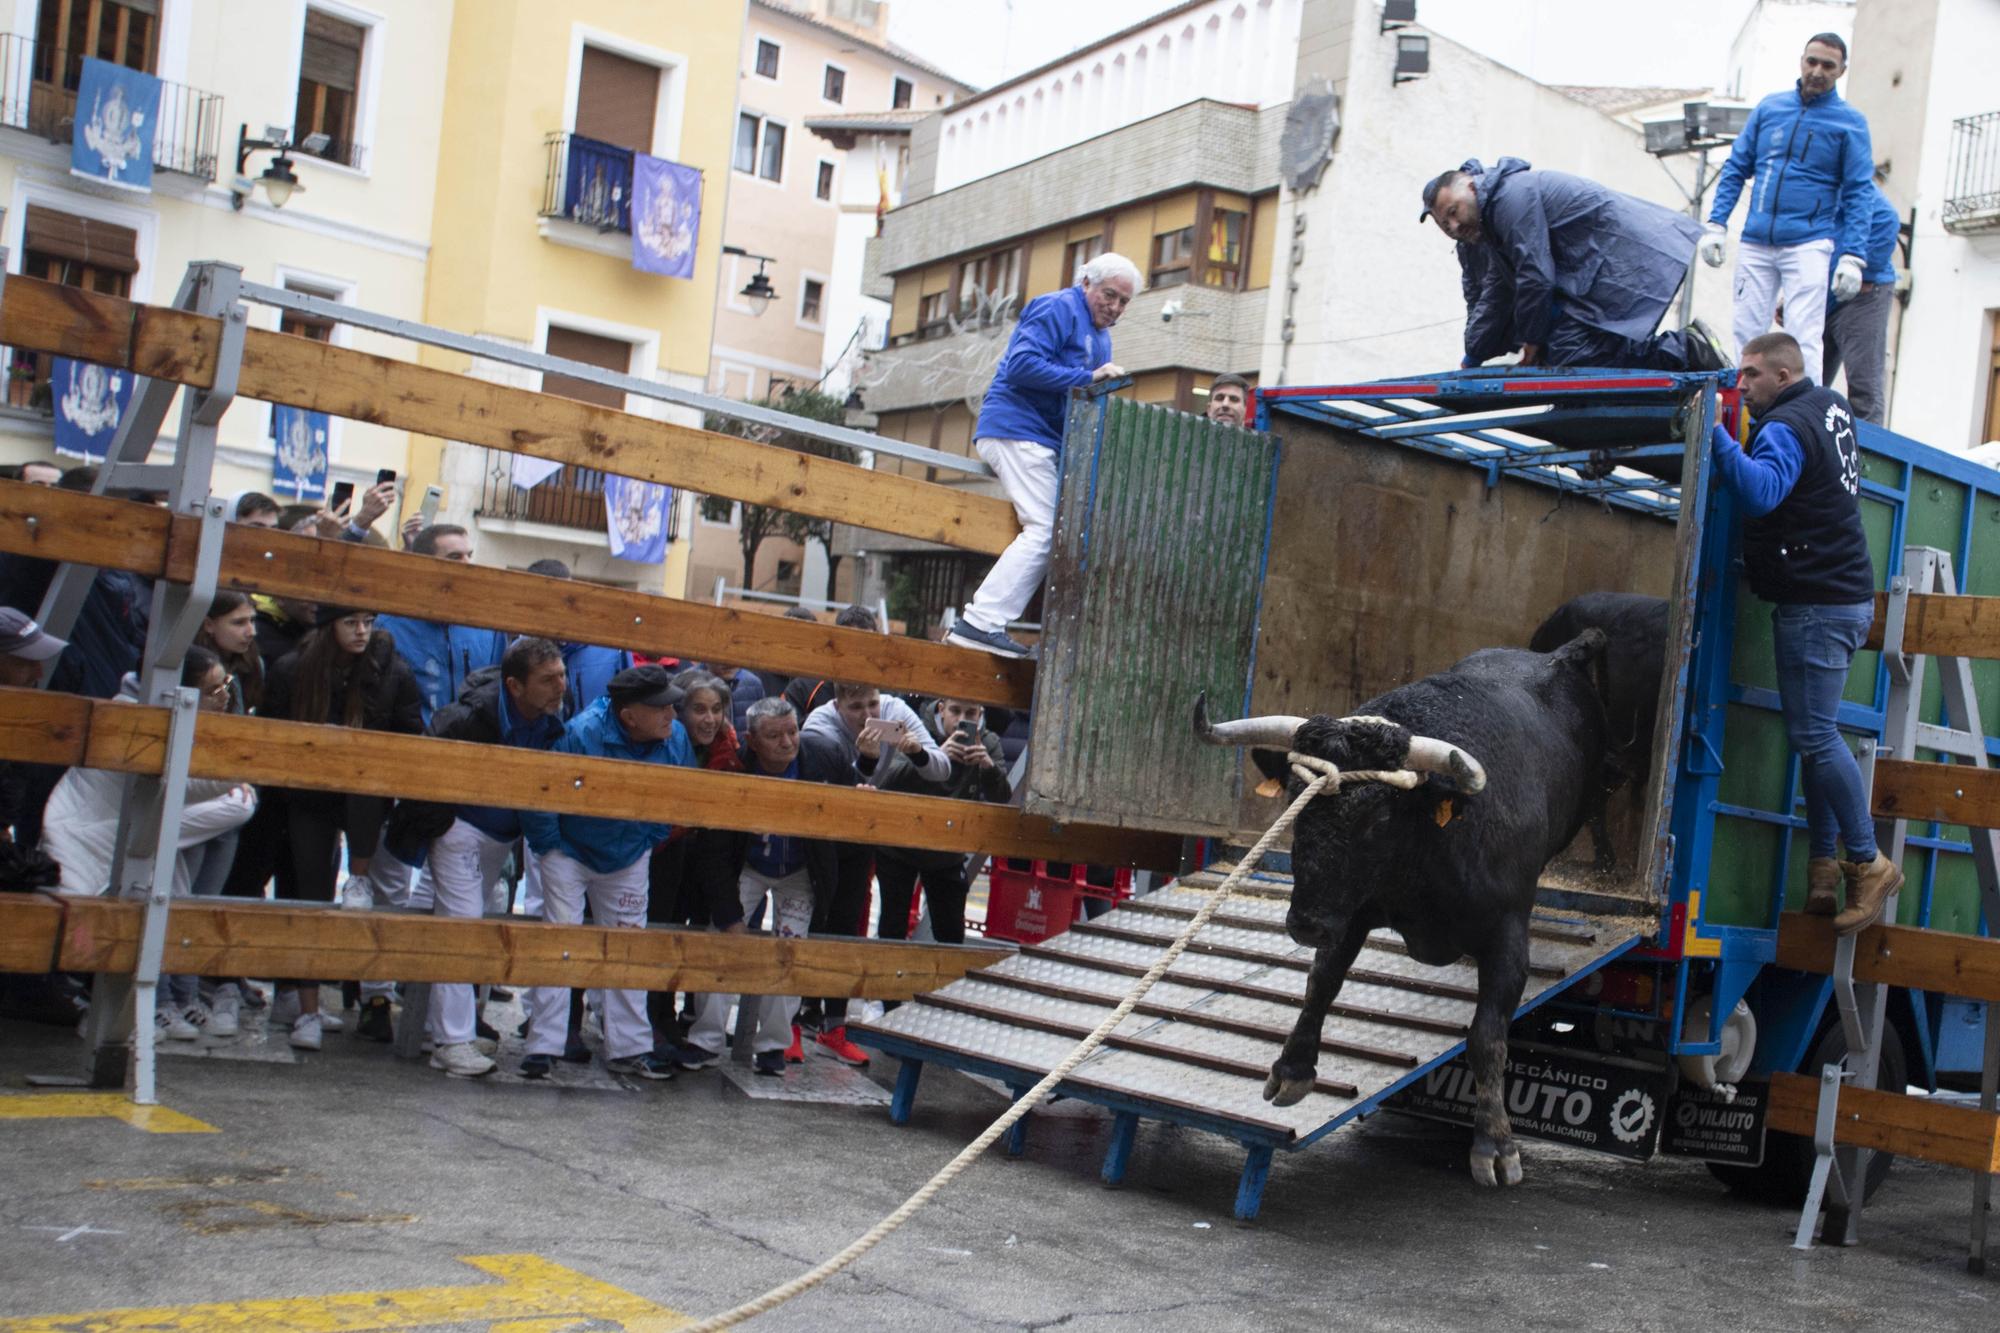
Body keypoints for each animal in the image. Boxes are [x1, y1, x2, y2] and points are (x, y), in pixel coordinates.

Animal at [1200, 628, 1608, 1176]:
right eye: (1292, 799)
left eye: (1377, 818)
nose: (1305, 924)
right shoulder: (1350, 912)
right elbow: (1322, 981)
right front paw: (1293, 1069)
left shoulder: (1507, 936)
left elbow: (1488, 1037)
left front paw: (1495, 1143)